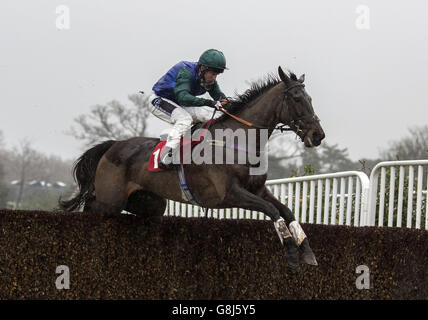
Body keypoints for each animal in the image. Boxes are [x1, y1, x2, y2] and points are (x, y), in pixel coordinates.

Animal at [59, 66, 324, 268]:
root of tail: (113, 145)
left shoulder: (258, 189)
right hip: (110, 201)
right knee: (91, 206)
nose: (318, 135)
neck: (238, 142)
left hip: (148, 203)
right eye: (297, 99)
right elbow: (272, 211)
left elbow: (286, 211)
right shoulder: (230, 194)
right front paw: (292, 255)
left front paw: (308, 252)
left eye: (311, 99)